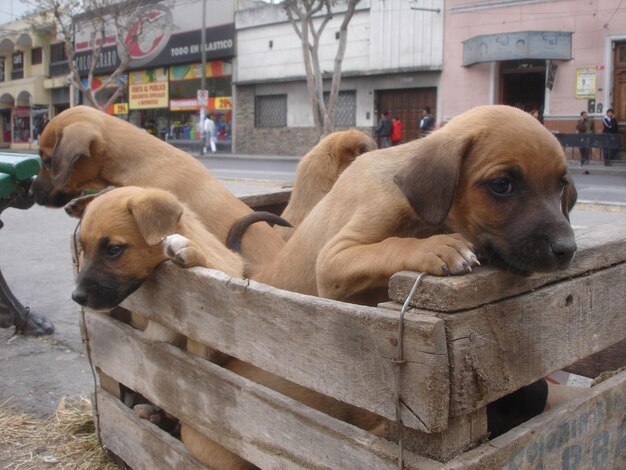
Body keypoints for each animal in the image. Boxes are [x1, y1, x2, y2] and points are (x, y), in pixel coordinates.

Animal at [244, 105, 576, 304]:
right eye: (502, 185)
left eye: (561, 185)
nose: (567, 250)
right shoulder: (332, 261)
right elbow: (390, 244)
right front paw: (436, 247)